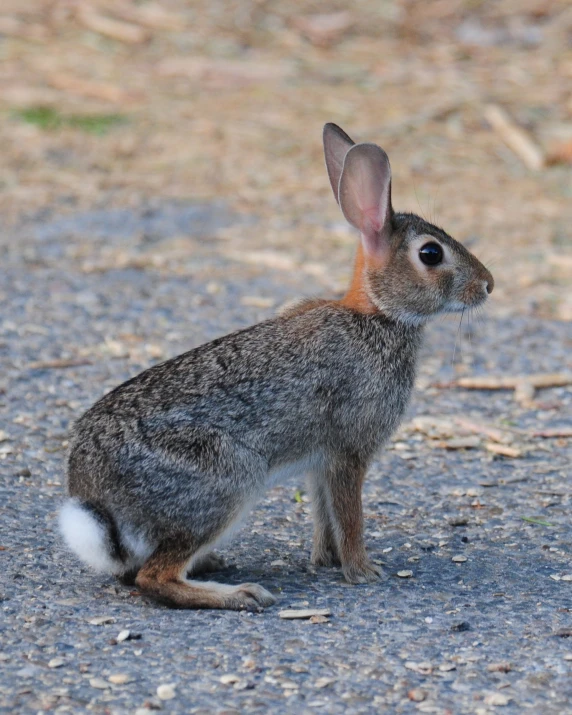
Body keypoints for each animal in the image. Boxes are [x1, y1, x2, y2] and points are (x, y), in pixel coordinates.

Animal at [60, 121, 494, 608]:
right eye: (431, 254)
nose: (488, 285)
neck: (378, 314)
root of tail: (96, 499)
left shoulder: (320, 461)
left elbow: (324, 513)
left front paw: (327, 561)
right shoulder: (349, 451)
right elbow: (350, 514)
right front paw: (363, 571)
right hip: (226, 478)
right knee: (153, 578)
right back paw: (239, 594)